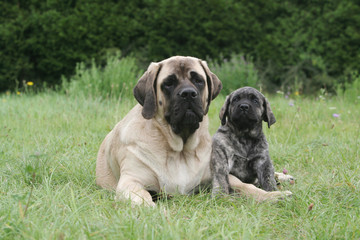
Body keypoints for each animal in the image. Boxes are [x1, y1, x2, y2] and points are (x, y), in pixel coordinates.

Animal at [97, 56, 292, 206]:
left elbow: (247, 186)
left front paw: (272, 195)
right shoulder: (131, 182)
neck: (180, 149)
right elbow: (142, 198)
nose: (188, 93)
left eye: (198, 80)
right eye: (168, 83)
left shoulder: (218, 174)